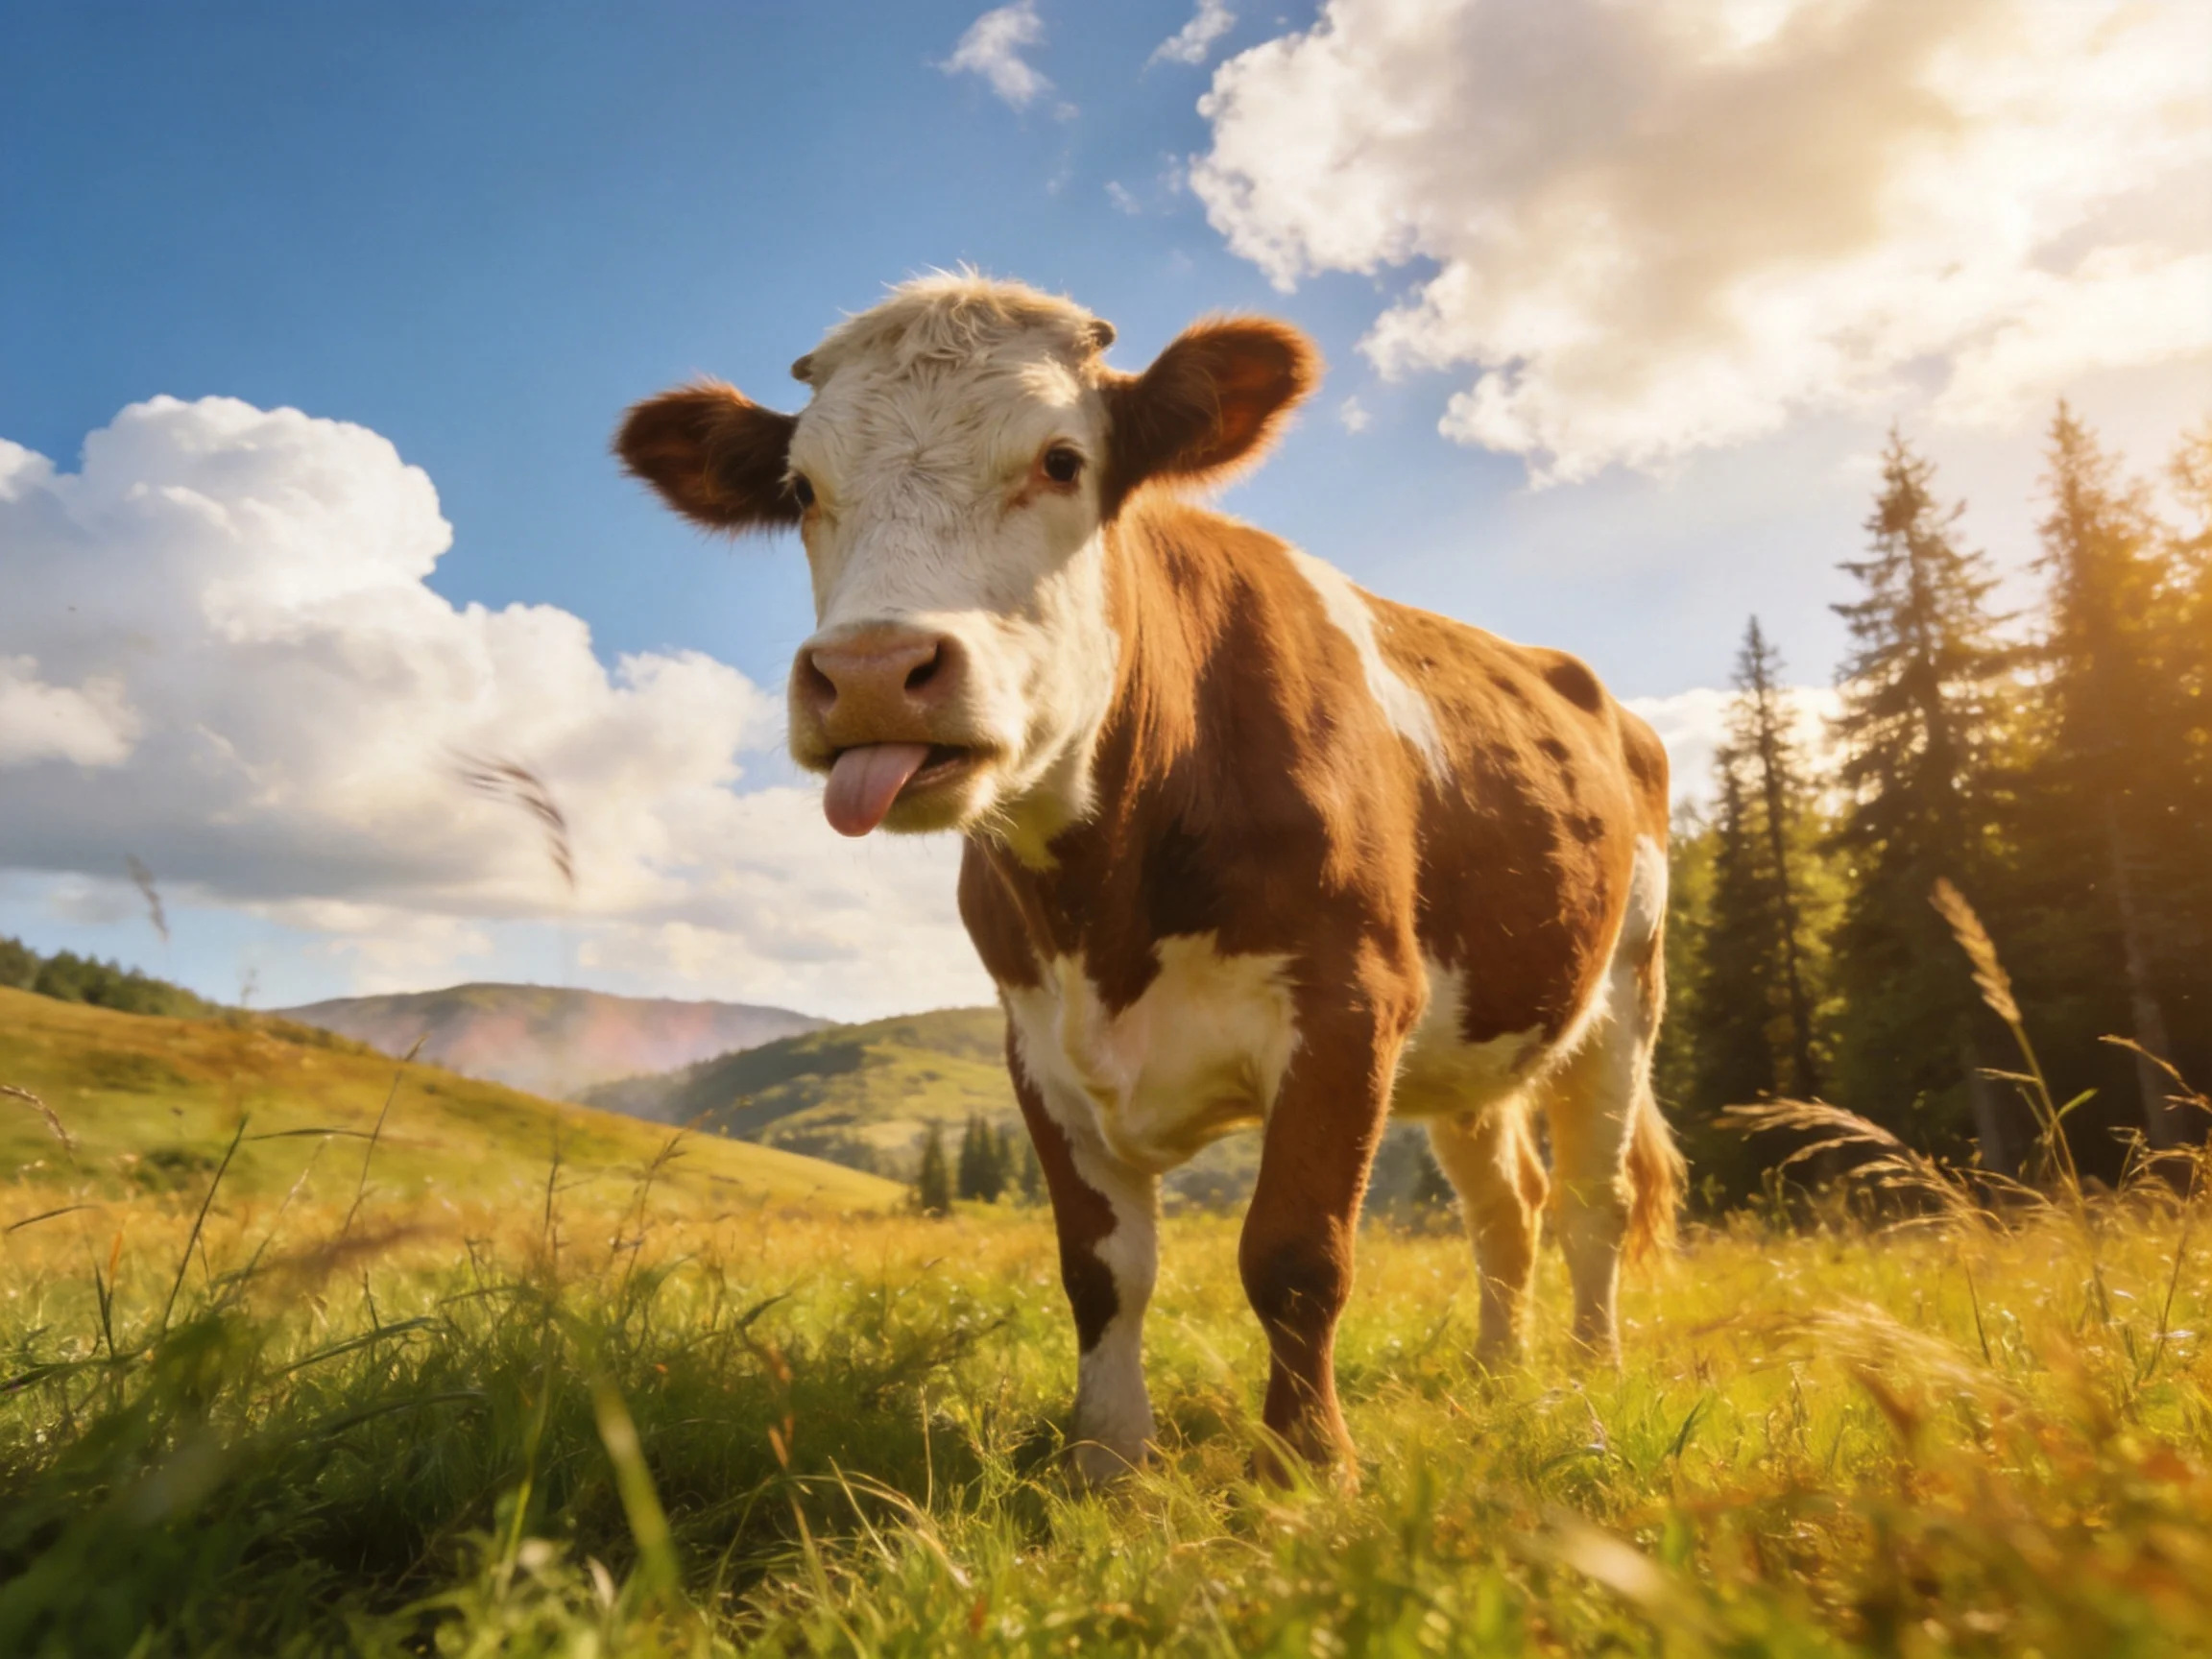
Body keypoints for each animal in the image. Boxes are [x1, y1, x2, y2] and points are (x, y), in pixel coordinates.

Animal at [616, 275, 1684, 1484]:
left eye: (1062, 460)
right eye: (802, 487)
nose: (874, 671)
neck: (1106, 902)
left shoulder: (1351, 1003)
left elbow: (1295, 1254)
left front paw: (1308, 1467)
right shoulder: (1035, 1043)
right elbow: (1101, 1270)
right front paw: (1108, 1464)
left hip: (1624, 996)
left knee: (1594, 1199)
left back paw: (1588, 1377)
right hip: (1479, 1037)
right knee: (1507, 1203)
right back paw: (1497, 1372)